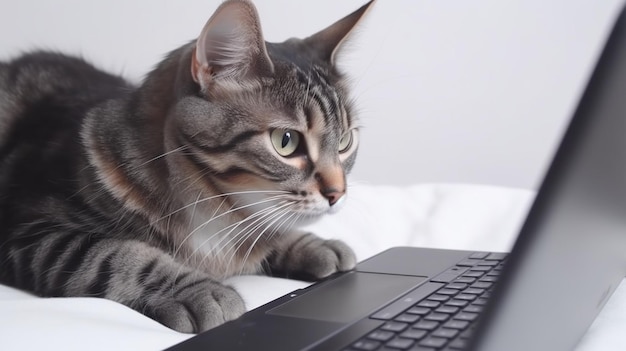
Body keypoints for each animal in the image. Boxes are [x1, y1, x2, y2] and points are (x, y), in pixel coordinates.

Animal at [0, 0, 370, 334]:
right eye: (286, 141)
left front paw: (310, 244)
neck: (213, 211)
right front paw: (198, 291)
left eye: (344, 141)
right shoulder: (32, 228)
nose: (337, 193)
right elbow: (114, 255)